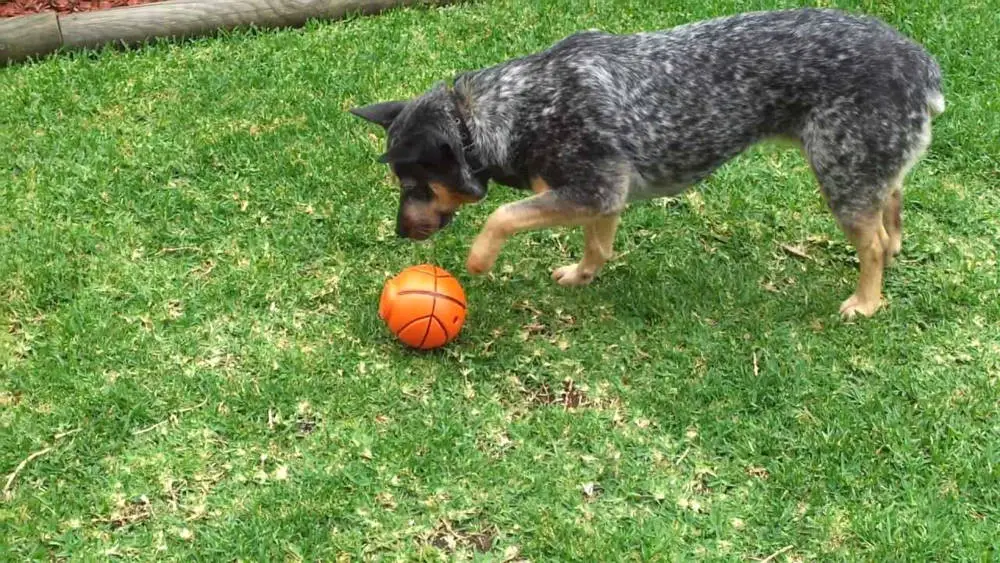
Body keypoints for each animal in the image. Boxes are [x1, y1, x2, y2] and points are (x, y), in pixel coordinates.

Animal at [352, 7, 944, 318]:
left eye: (414, 185)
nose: (400, 233)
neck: (512, 108)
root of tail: (921, 64)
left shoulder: (591, 190)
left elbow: (502, 215)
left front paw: (479, 260)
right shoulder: (602, 198)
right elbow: (597, 245)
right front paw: (582, 275)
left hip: (839, 174)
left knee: (870, 242)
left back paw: (865, 301)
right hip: (864, 166)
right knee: (891, 203)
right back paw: (893, 250)